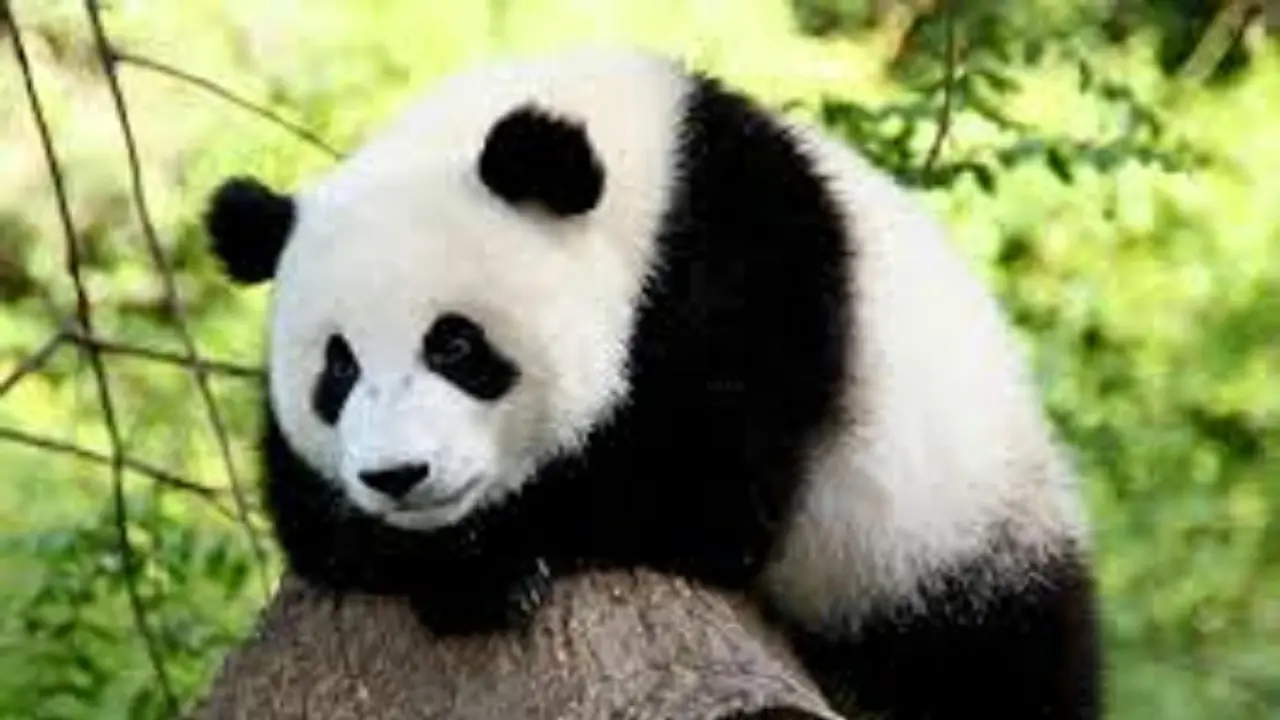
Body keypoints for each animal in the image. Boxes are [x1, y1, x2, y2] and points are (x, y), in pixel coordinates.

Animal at [203, 46, 1100, 719]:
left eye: (455, 344)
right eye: (338, 368)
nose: (397, 475)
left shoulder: (751, 274)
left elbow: (703, 487)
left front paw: (485, 565)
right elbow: (307, 512)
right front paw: (428, 555)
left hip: (949, 533)